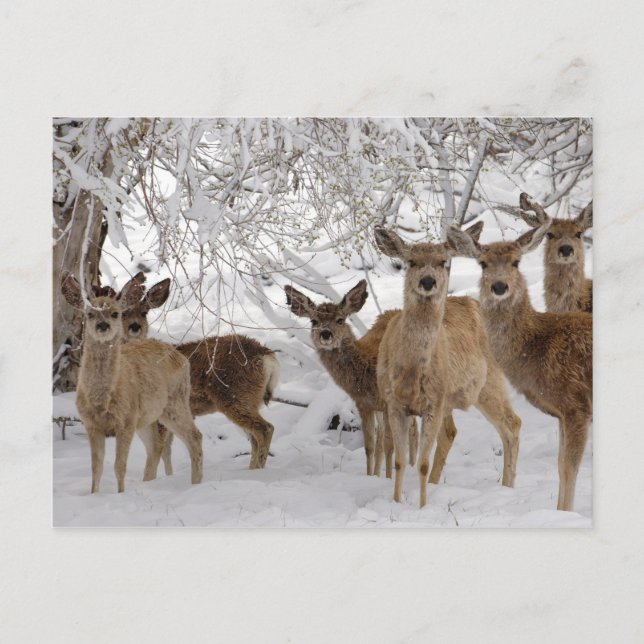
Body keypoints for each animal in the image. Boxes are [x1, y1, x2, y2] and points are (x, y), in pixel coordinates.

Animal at [60, 272, 203, 493]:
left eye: (115, 313)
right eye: (89, 314)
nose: (103, 326)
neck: (102, 399)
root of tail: (180, 356)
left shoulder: (126, 421)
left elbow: (120, 466)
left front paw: (121, 494)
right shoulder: (91, 424)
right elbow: (96, 468)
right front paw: (94, 494)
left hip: (175, 402)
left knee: (194, 437)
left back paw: (196, 484)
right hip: (148, 416)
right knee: (155, 447)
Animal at [119, 273, 280, 470]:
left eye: (144, 312)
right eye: (122, 312)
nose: (135, 326)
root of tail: (267, 356)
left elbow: (158, 451)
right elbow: (167, 452)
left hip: (237, 396)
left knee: (265, 429)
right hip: (249, 399)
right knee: (255, 437)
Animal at [284, 281, 420, 478]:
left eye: (340, 320)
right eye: (313, 321)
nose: (326, 334)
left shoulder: (388, 402)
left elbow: (390, 445)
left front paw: (388, 478)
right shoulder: (364, 404)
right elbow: (370, 446)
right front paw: (371, 476)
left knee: (413, 430)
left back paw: (412, 466)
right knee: (384, 437)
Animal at [373, 226, 522, 508]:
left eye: (444, 261)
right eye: (411, 261)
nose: (428, 281)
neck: (411, 371)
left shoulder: (433, 402)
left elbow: (421, 462)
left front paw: (422, 508)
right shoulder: (393, 403)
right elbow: (399, 461)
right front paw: (397, 502)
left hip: (488, 382)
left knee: (512, 423)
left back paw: (507, 488)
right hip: (454, 398)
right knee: (454, 432)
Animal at [447, 222, 593, 512]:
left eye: (516, 261)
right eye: (482, 263)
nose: (499, 286)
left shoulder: (577, 405)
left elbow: (569, 468)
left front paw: (565, 513)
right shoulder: (562, 412)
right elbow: (560, 466)